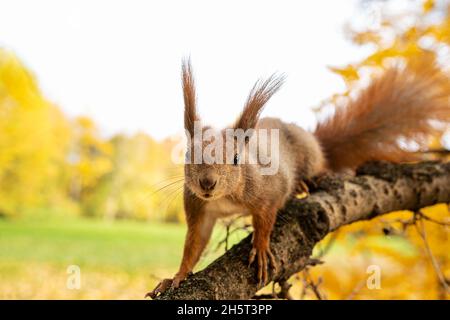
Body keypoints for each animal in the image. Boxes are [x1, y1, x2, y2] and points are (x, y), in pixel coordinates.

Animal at [148, 59, 450, 298]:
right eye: (188, 154)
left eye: (235, 158)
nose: (207, 184)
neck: (225, 198)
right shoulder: (198, 207)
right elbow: (194, 243)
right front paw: (176, 276)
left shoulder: (268, 191)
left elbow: (266, 219)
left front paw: (260, 247)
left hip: (309, 157)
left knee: (315, 168)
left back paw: (307, 181)